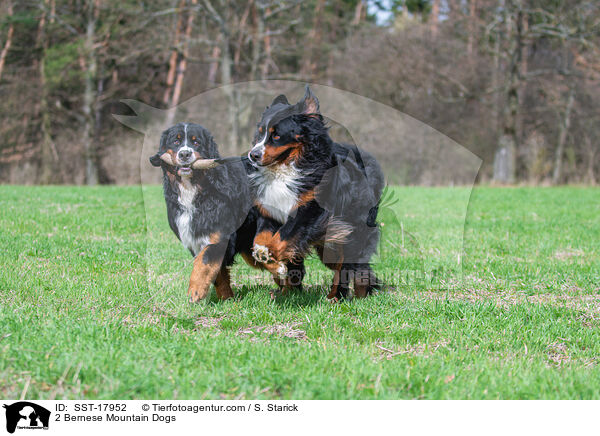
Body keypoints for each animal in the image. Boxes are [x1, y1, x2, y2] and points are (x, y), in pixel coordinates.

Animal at [149, 121, 256, 302]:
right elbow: (218, 273)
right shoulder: (194, 239)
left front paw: (195, 290)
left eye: (196, 142)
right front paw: (226, 298)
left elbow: (204, 260)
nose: (185, 154)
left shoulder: (220, 235)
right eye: (176, 141)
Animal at [245, 85, 382, 300]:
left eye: (276, 135)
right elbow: (261, 238)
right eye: (260, 134)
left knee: (349, 265)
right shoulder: (270, 211)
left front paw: (272, 256)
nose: (253, 155)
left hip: (348, 232)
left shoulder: (310, 211)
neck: (285, 170)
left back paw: (340, 296)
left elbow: (283, 236)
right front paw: (266, 257)